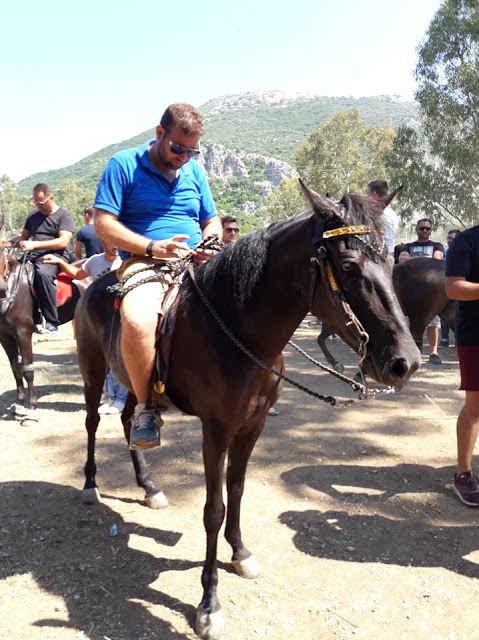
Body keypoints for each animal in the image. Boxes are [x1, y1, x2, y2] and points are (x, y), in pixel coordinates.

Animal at [0, 245, 79, 420]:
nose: (1, 287)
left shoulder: (23, 334)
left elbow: (28, 370)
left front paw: (32, 406)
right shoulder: (5, 337)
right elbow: (15, 368)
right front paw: (19, 402)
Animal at [74, 182, 420, 636]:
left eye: (389, 260)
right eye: (348, 265)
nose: (405, 362)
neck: (237, 330)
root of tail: (94, 285)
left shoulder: (251, 426)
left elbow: (236, 491)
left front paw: (239, 553)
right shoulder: (216, 429)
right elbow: (213, 509)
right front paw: (208, 603)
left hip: (134, 382)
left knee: (133, 421)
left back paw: (149, 486)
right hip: (94, 372)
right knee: (92, 423)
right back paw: (90, 485)